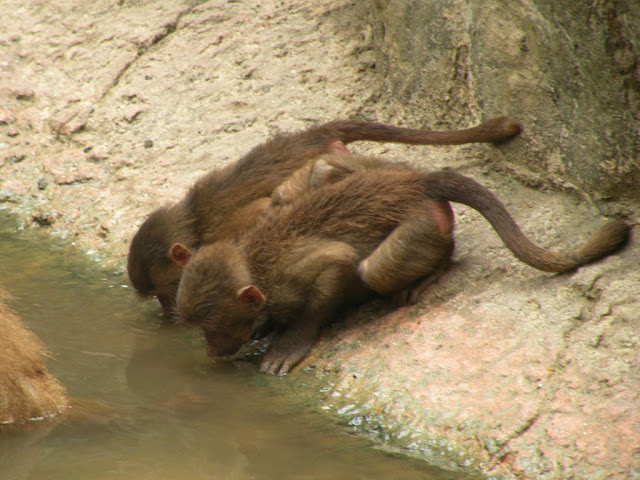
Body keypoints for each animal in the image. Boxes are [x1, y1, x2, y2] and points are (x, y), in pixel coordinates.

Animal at [173, 159, 631, 375]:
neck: (252, 264)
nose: (210, 350)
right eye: (201, 331)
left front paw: (290, 342)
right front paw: (266, 329)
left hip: (421, 223)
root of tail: (415, 182)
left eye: (214, 329)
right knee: (317, 173)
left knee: (374, 270)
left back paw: (435, 267)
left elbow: (337, 264)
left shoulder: (289, 278)